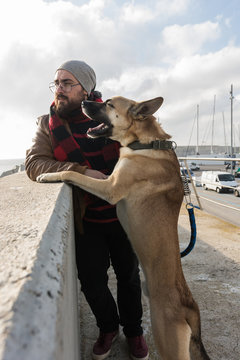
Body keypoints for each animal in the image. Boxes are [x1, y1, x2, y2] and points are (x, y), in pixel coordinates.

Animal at [37, 95, 210, 360]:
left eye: (108, 103)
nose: (84, 102)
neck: (145, 142)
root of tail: (189, 306)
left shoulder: (110, 188)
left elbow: (74, 174)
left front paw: (49, 176)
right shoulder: (108, 181)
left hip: (167, 341)